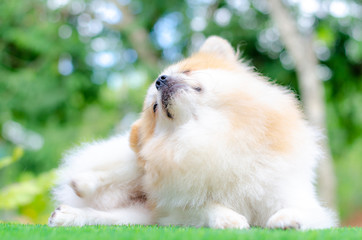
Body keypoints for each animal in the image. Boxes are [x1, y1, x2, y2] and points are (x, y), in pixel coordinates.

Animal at [48, 36, 336, 230]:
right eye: (155, 108)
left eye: (186, 71)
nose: (160, 79)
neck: (207, 130)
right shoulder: (177, 211)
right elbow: (205, 207)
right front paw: (228, 218)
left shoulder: (290, 194)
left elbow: (302, 210)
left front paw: (287, 218)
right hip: (138, 174)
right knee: (126, 171)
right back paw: (80, 186)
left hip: (139, 215)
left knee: (108, 212)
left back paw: (71, 212)